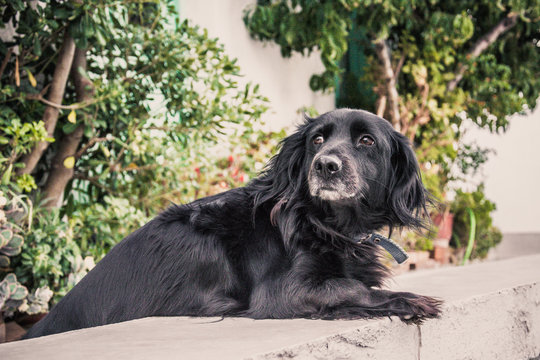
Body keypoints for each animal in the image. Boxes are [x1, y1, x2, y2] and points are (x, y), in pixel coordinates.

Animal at [23, 108, 440, 338]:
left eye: (367, 141)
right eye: (317, 140)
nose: (326, 165)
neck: (329, 225)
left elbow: (357, 283)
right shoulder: (282, 291)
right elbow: (351, 288)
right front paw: (412, 300)